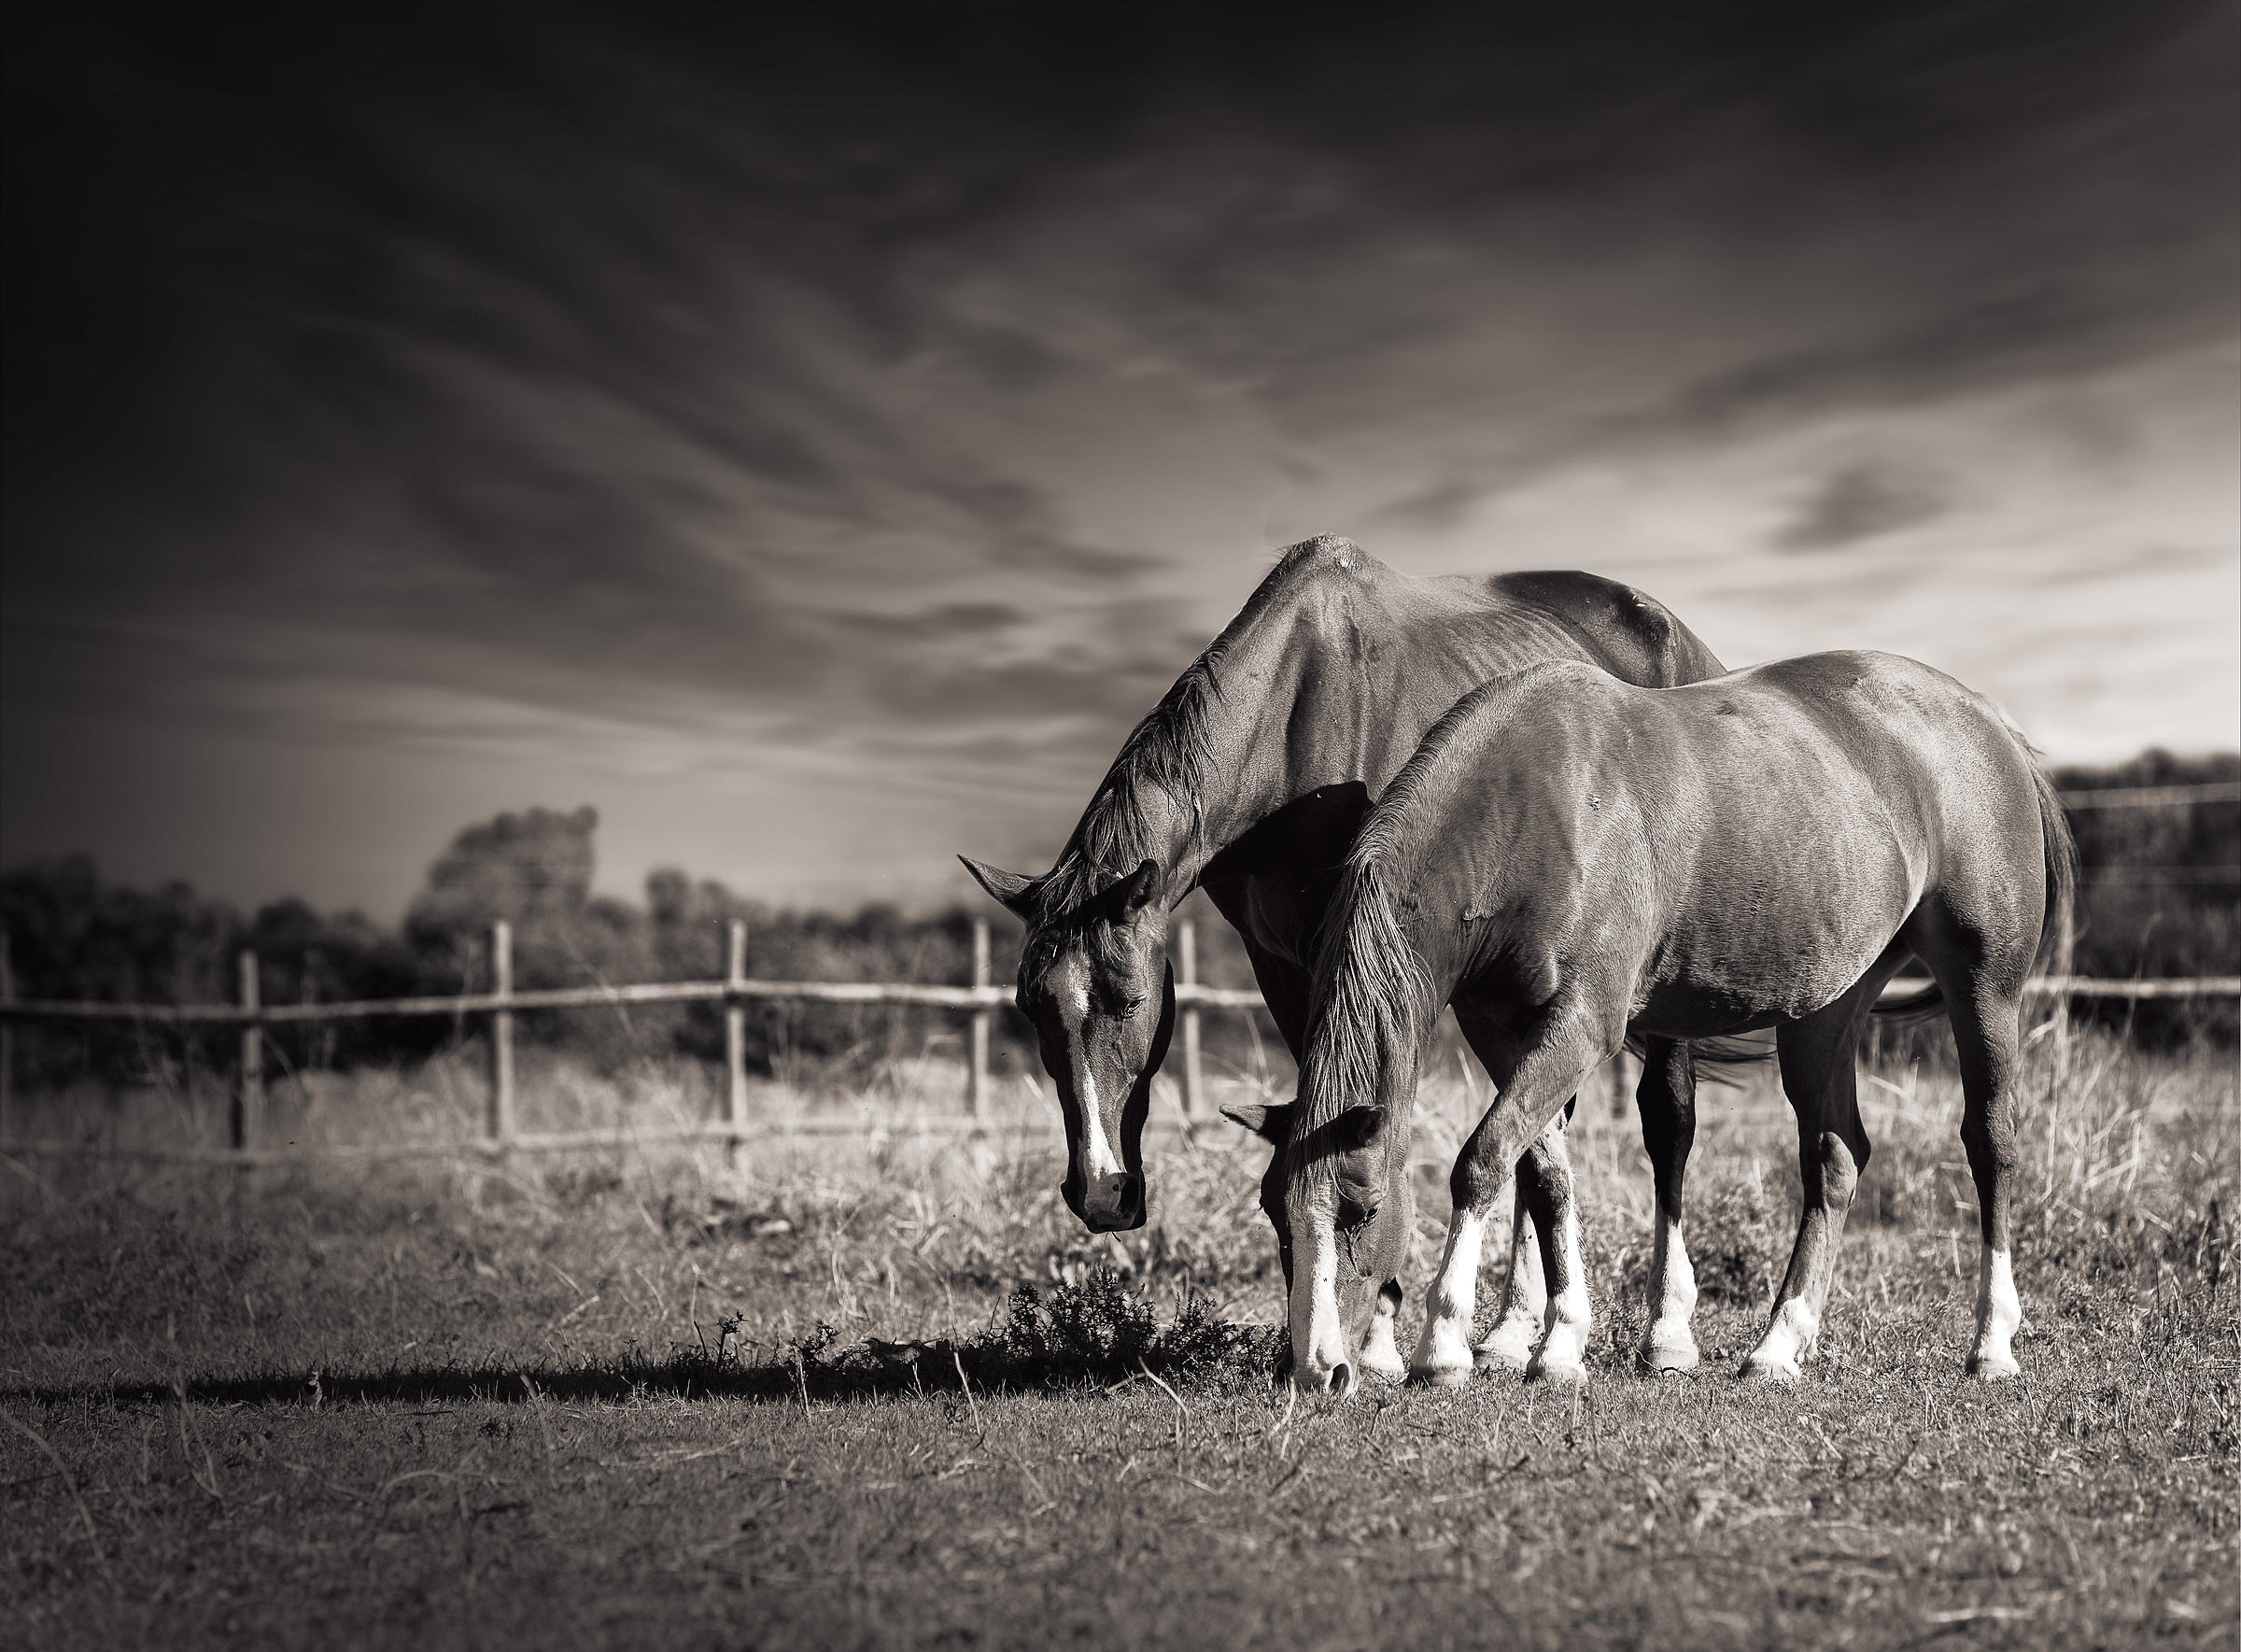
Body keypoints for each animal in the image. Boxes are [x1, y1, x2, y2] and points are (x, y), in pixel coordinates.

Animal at [961, 534, 1733, 1378]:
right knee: (1538, 1130)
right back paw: (1510, 1329)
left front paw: (1378, 1339)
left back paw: (1667, 1331)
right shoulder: (1283, 962)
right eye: (1029, 1009)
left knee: (1666, 1123)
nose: (1101, 1192)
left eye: (1131, 1001)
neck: (1290, 723)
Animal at [1280, 650, 2077, 1394]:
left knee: (1990, 1144)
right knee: (1835, 1157)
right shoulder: (1500, 1031)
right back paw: (1778, 1346)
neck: (1536, 805)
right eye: (1276, 1213)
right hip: (1824, 1013)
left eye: (1360, 1208)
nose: (1321, 1370)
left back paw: (1992, 1343)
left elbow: (1483, 1158)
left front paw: (1443, 1345)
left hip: (1985, 990)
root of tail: (1988, 722)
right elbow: (1543, 1173)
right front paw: (1560, 1344)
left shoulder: (1582, 1024)